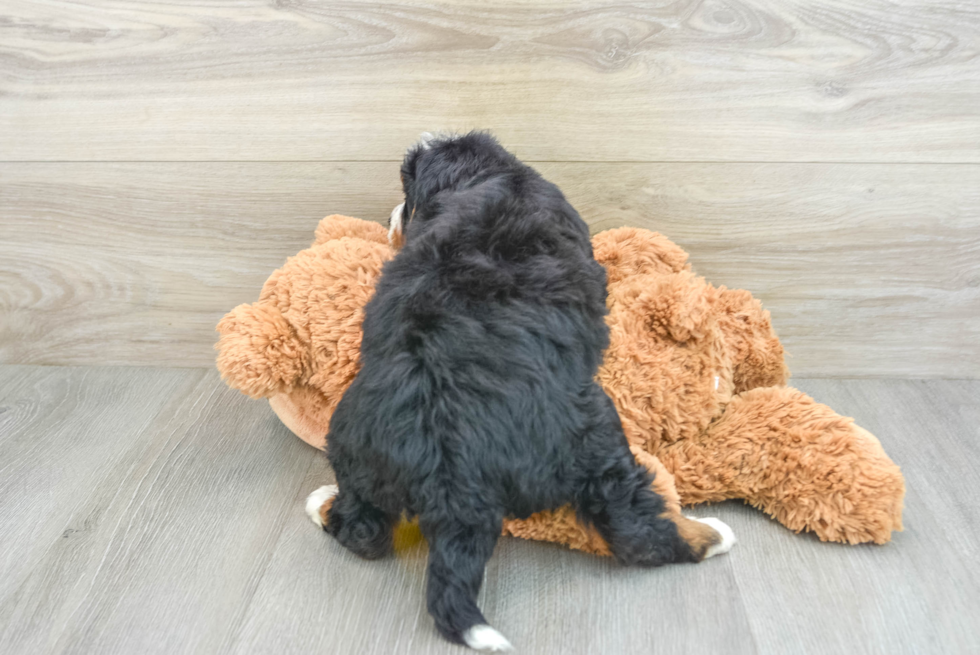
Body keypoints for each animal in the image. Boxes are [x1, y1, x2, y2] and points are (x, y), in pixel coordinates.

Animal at [310, 133, 732, 652]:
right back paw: (710, 535)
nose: (392, 218)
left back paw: (323, 502)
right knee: (634, 528)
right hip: (595, 436)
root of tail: (451, 471)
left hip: (355, 446)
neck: (490, 178)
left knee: (362, 530)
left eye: (407, 200)